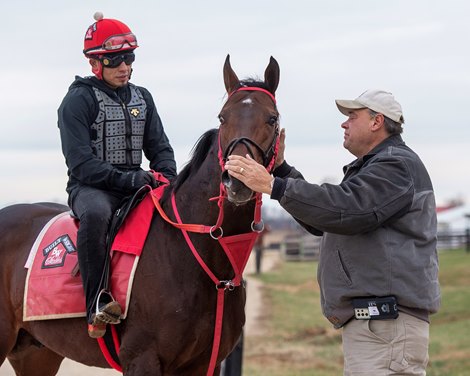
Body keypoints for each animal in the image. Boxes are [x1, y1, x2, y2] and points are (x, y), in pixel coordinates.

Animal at [0, 53, 280, 376]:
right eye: (223, 118)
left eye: (272, 118)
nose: (237, 179)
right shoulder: (142, 359)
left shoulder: (202, 364)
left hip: (35, 353)